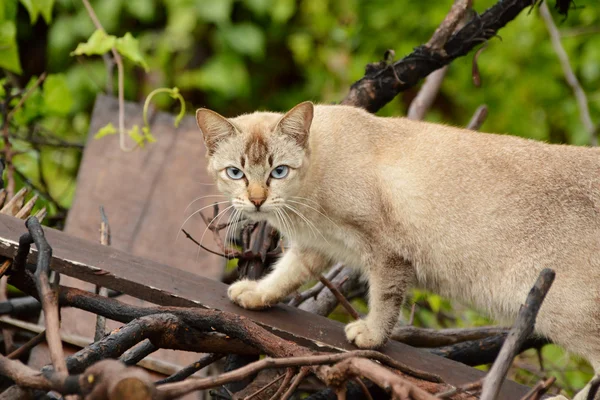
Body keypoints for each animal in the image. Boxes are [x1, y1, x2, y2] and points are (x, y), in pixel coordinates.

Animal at [196, 101, 600, 398]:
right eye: (236, 173)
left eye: (278, 171)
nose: (257, 200)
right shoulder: (317, 244)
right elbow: (285, 275)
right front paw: (255, 295)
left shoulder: (386, 251)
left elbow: (384, 301)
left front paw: (370, 336)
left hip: (565, 315)